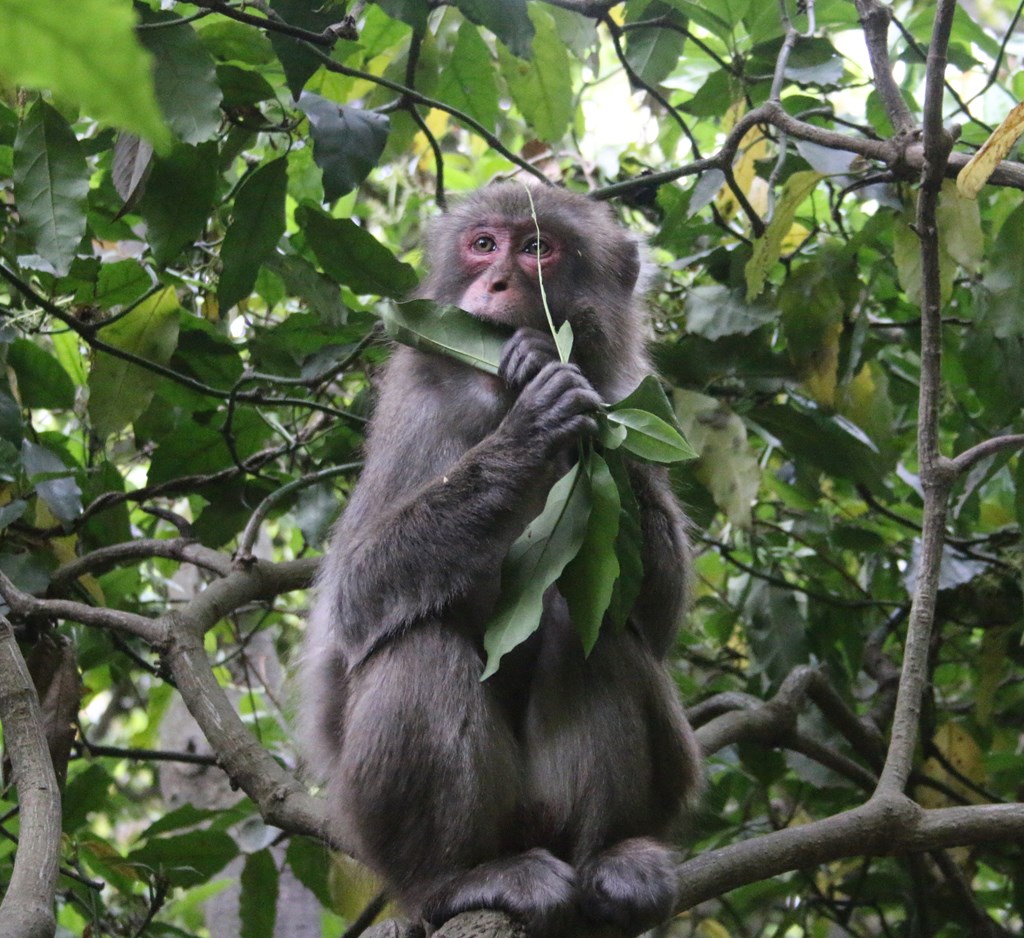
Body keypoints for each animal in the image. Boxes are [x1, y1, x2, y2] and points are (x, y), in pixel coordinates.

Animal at [301, 183, 704, 938]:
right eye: (484, 245)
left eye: (538, 248)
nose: (496, 283)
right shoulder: (419, 408)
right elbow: (358, 590)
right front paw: (534, 425)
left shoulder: (635, 393)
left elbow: (656, 614)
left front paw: (564, 383)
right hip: (374, 827)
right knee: (420, 643)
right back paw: (462, 879)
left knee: (597, 629)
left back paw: (611, 858)